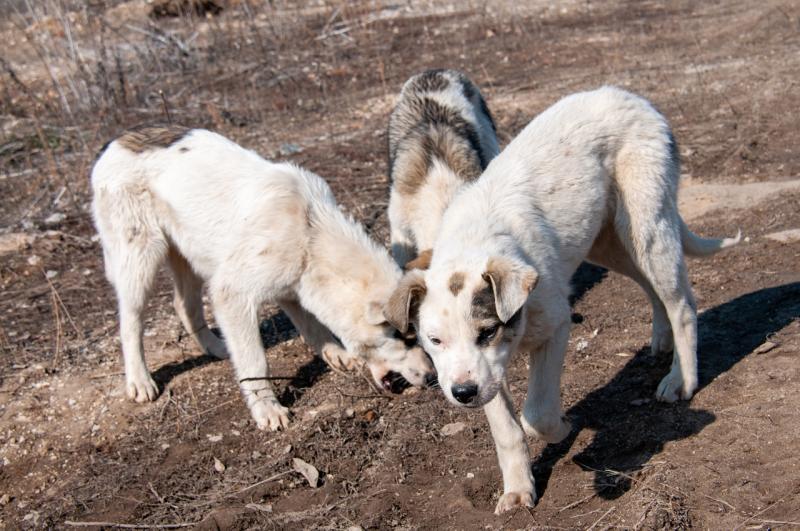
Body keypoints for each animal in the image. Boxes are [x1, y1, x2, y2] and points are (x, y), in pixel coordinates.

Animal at [90, 128, 434, 432]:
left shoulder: (291, 287)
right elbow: (256, 362)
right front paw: (266, 408)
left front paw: (334, 354)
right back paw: (140, 381)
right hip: (141, 261)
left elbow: (313, 327)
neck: (311, 233)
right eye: (405, 338)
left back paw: (217, 347)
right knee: (130, 321)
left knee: (184, 305)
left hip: (188, 257)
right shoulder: (233, 294)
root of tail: (112, 144)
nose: (432, 377)